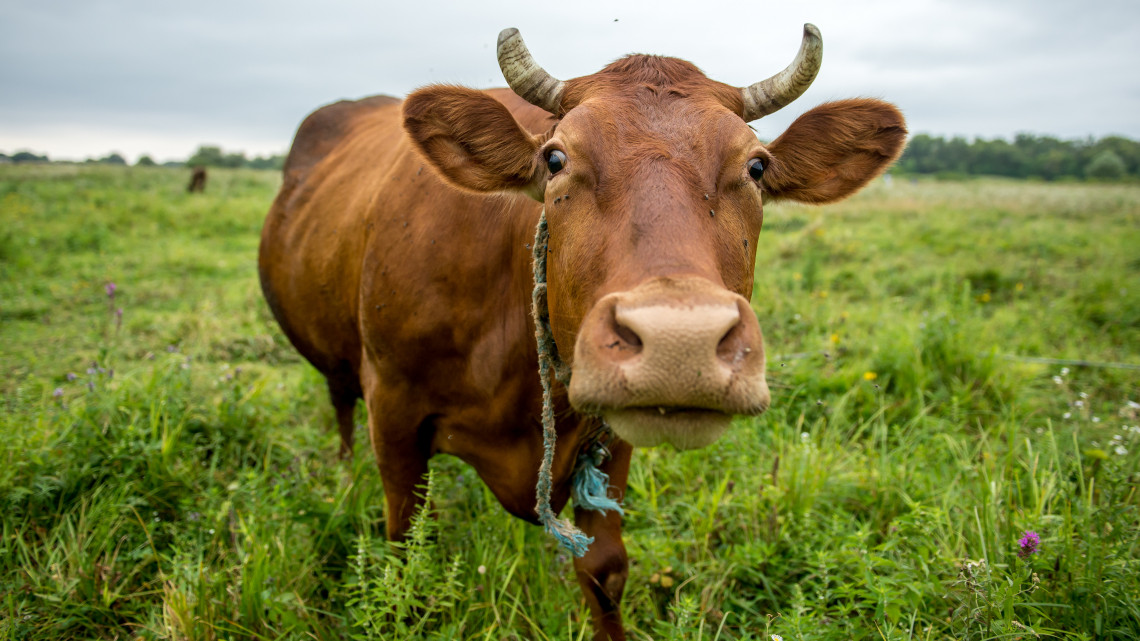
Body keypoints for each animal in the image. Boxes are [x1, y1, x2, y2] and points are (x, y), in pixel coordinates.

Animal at [261, 23, 907, 634]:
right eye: (555, 160)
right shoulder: (394, 412)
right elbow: (406, 557)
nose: (681, 344)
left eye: (756, 166)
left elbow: (604, 568)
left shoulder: (611, 434)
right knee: (340, 404)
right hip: (340, 366)